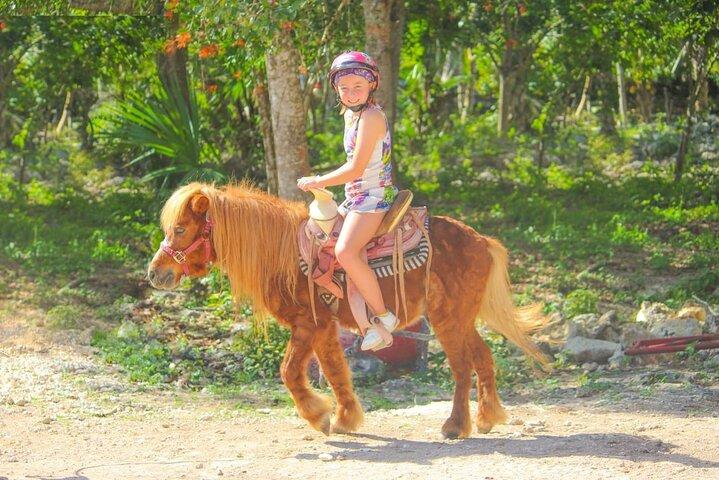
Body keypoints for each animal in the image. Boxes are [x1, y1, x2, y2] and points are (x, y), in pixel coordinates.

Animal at [147, 181, 549, 439]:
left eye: (180, 229)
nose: (154, 273)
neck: (283, 253)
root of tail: (482, 241)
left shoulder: (307, 325)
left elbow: (289, 371)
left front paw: (317, 415)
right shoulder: (324, 327)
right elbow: (335, 370)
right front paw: (344, 418)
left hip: (448, 319)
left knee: (463, 366)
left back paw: (456, 426)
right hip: (463, 318)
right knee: (483, 357)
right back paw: (487, 417)